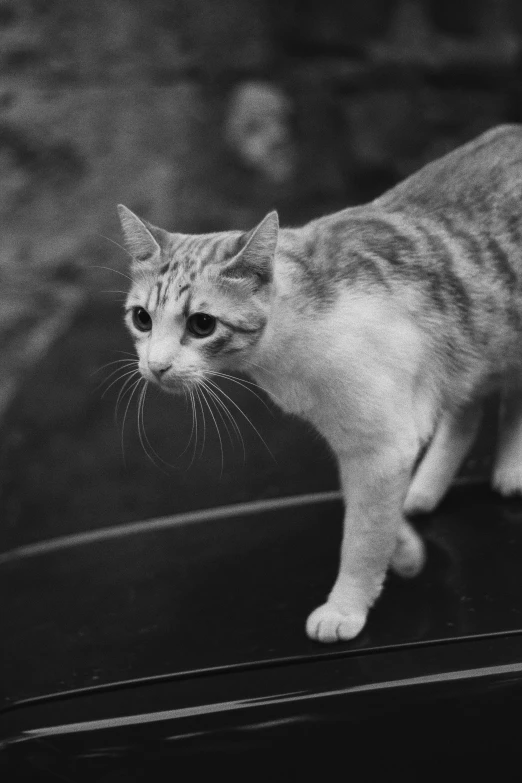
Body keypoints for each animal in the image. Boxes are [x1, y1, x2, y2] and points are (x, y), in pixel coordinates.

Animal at [119, 124, 522, 644]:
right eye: (142, 319)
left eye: (202, 325)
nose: (156, 366)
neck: (285, 350)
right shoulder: (363, 439)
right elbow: (366, 511)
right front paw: (404, 548)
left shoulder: (381, 445)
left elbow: (362, 537)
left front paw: (347, 605)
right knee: (467, 410)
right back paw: (425, 489)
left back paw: (510, 468)